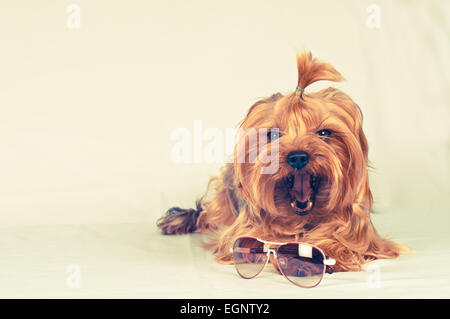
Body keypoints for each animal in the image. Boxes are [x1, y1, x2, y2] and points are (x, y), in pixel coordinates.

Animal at [157, 51, 400, 272]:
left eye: (324, 133)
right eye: (273, 135)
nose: (298, 156)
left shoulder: (364, 236)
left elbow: (346, 240)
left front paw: (321, 253)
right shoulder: (243, 229)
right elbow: (254, 240)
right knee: (205, 215)